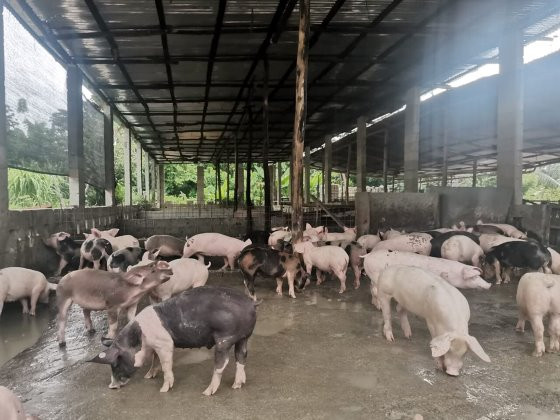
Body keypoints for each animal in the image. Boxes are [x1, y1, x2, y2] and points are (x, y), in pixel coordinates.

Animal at [91, 286, 258, 394]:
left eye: (115, 363)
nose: (112, 387)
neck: (140, 338)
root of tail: (251, 303)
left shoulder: (165, 344)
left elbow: (166, 365)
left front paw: (163, 389)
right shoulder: (155, 345)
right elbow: (155, 360)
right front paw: (148, 376)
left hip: (225, 338)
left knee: (222, 363)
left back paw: (207, 392)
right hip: (244, 337)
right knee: (241, 357)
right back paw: (237, 385)